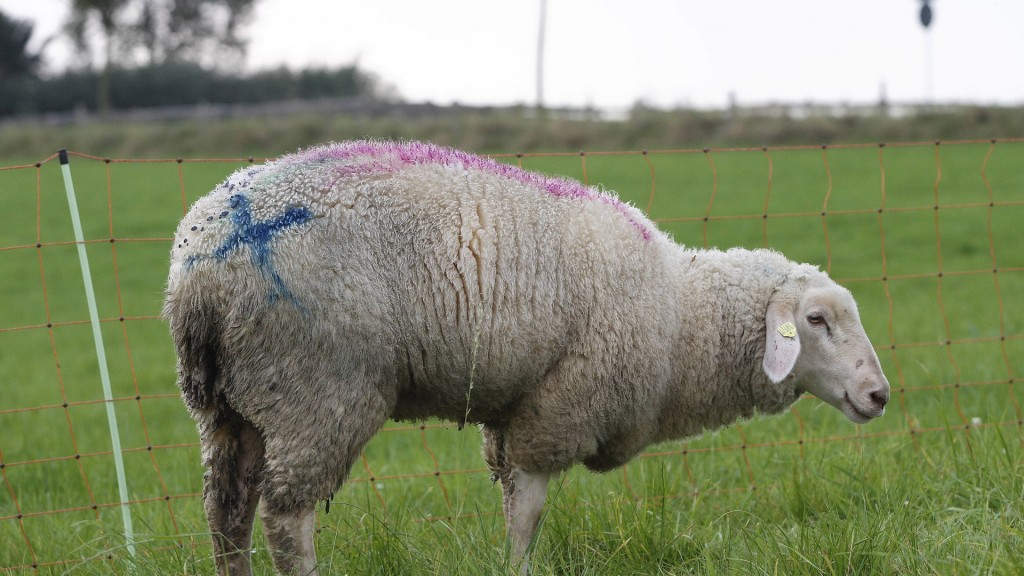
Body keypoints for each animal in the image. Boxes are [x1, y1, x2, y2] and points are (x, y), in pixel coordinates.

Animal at [163, 140, 892, 573]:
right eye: (817, 320)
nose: (879, 395)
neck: (682, 314)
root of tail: (201, 261)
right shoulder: (558, 407)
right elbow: (529, 513)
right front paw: (517, 567)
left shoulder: (513, 411)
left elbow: (512, 498)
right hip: (318, 389)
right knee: (287, 518)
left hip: (230, 405)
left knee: (226, 514)